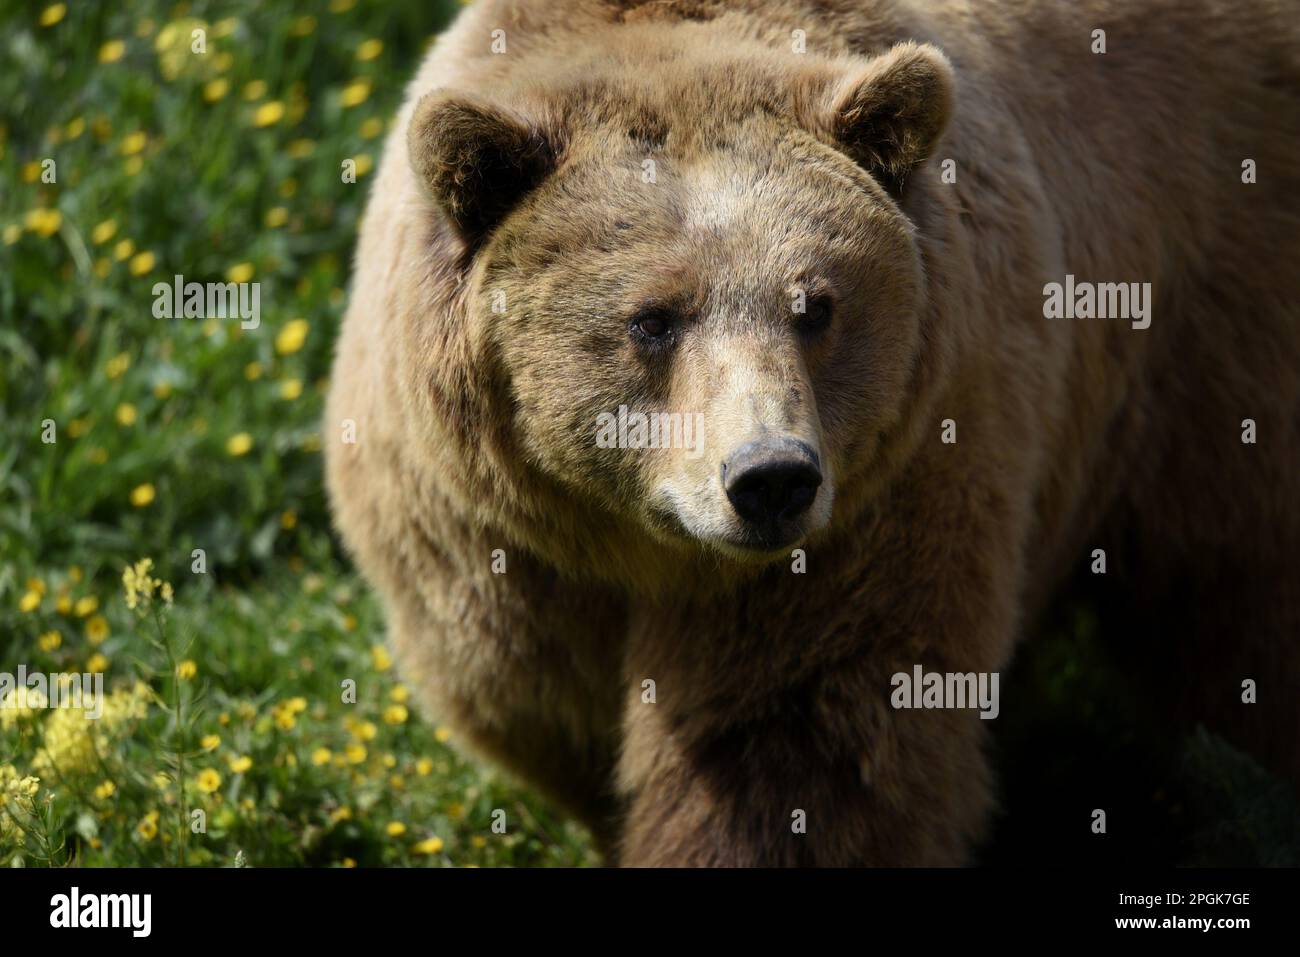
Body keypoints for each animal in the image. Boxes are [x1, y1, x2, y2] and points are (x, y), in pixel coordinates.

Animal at [325, 0, 1300, 865]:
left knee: (1231, 597)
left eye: (816, 304)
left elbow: (796, 741)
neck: (642, 552)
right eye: (652, 319)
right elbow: (542, 704)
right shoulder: (491, 550)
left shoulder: (886, 491)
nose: (770, 476)